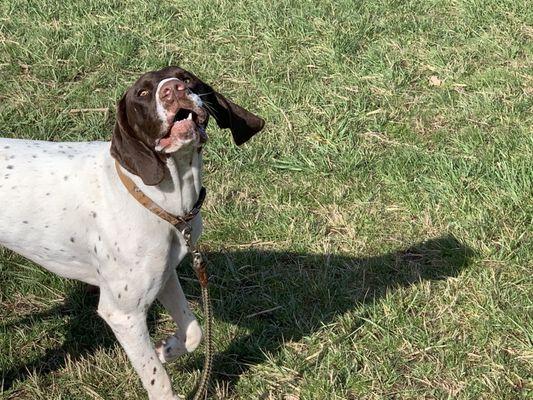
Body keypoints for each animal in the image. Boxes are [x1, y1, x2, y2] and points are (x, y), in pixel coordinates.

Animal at [0, 67, 264, 398]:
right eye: (143, 93)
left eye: (186, 77)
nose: (173, 89)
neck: (159, 200)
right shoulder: (124, 314)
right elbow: (158, 379)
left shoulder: (165, 275)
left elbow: (194, 331)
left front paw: (168, 348)